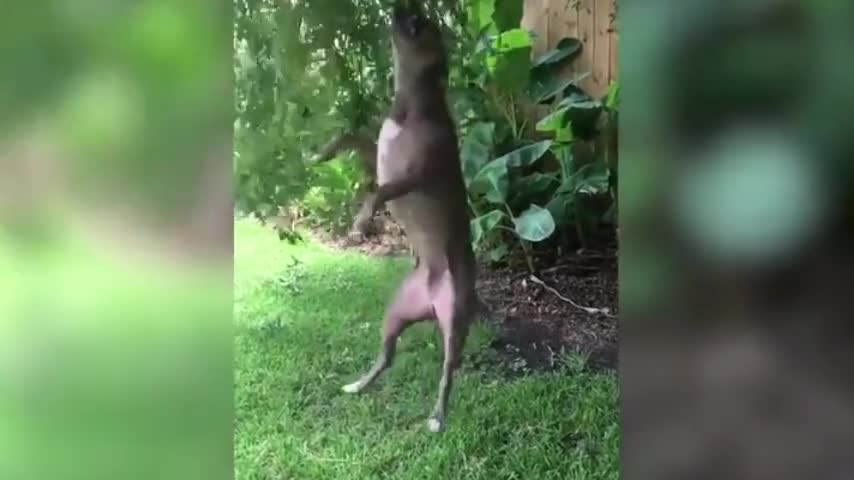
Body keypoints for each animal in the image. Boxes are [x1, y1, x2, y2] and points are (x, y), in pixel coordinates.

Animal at [340, 0, 482, 436]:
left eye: (419, 23)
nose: (400, 8)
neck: (410, 107)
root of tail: (431, 296)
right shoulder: (374, 151)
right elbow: (349, 140)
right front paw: (321, 154)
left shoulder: (413, 177)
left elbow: (379, 192)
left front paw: (362, 219)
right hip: (395, 314)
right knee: (387, 358)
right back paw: (359, 384)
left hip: (455, 321)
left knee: (447, 372)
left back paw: (437, 415)